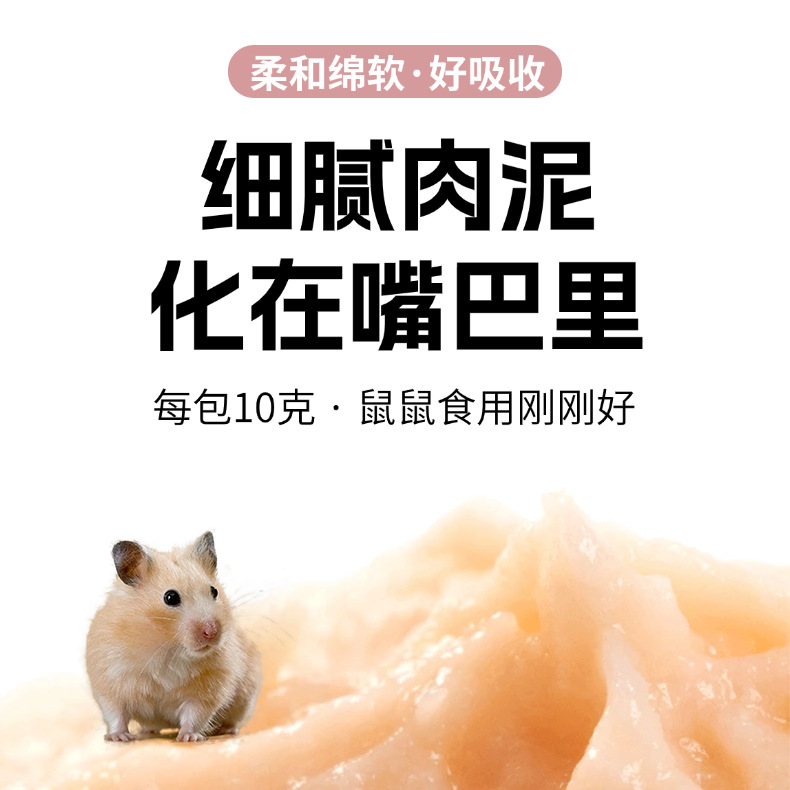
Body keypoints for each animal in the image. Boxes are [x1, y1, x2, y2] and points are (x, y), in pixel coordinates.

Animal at [86, 531, 261, 742]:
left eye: (214, 591)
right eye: (170, 597)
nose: (211, 632)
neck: (168, 647)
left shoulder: (208, 690)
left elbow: (195, 714)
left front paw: (189, 738)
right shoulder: (110, 681)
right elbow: (115, 714)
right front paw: (119, 738)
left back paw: (227, 730)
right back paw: (146, 732)